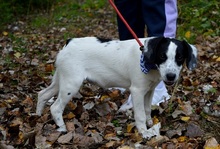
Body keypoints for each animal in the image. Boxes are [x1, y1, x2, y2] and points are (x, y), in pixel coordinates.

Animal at [36, 36, 198, 139]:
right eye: (162, 56)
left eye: (179, 57)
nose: (171, 76)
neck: (150, 63)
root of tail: (69, 42)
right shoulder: (137, 91)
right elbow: (140, 114)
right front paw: (144, 132)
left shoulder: (149, 89)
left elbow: (147, 109)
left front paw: (149, 123)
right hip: (71, 83)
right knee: (55, 107)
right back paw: (62, 128)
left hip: (61, 80)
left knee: (42, 94)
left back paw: (37, 117)